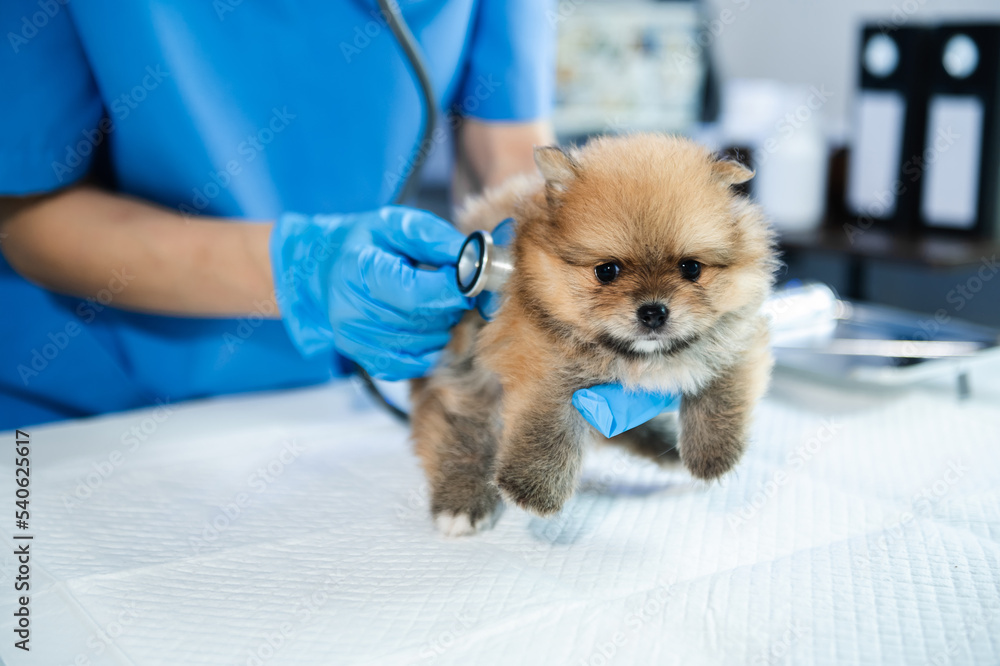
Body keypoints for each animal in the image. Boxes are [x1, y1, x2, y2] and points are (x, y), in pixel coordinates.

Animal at [410, 135, 776, 536]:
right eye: (607, 271)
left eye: (691, 268)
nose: (653, 312)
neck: (633, 355)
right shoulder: (537, 358)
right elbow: (547, 422)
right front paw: (533, 488)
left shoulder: (739, 333)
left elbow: (723, 388)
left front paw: (713, 455)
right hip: (468, 376)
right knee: (466, 432)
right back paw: (462, 503)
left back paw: (662, 443)